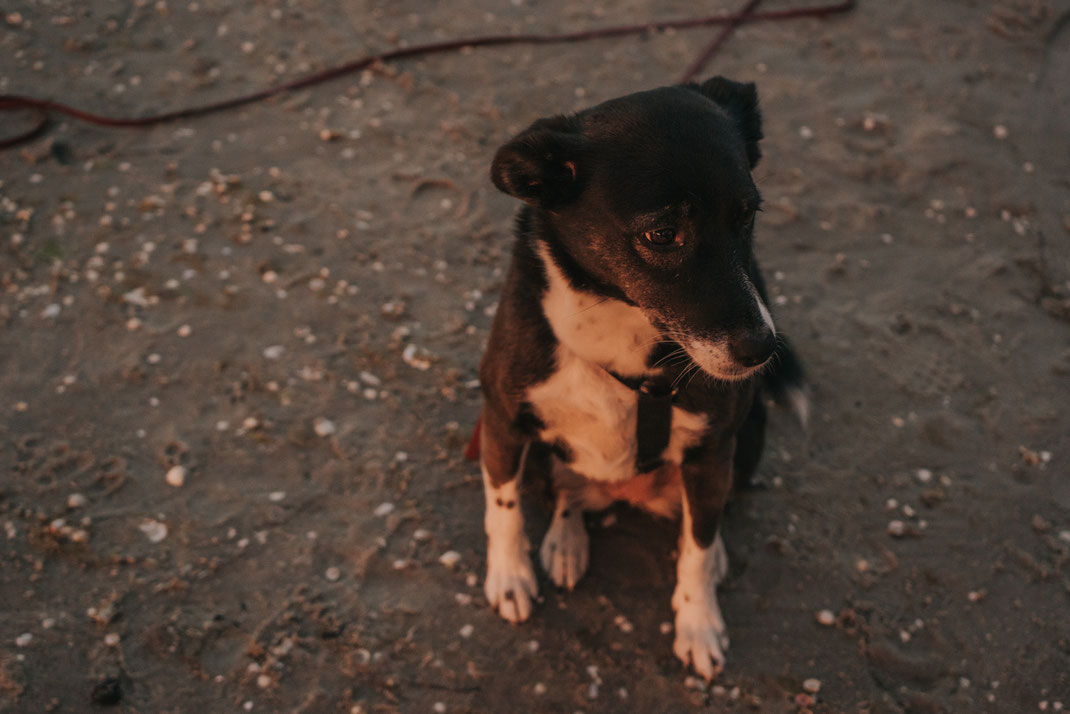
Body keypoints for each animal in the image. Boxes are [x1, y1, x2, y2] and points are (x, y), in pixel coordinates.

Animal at [477, 78, 804, 680]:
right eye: (662, 233)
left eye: (747, 215)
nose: (762, 349)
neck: (621, 323)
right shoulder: (503, 419)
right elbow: (502, 510)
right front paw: (509, 576)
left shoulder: (711, 452)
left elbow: (696, 550)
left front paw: (698, 623)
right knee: (565, 493)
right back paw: (565, 541)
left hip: (748, 442)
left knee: (708, 519)